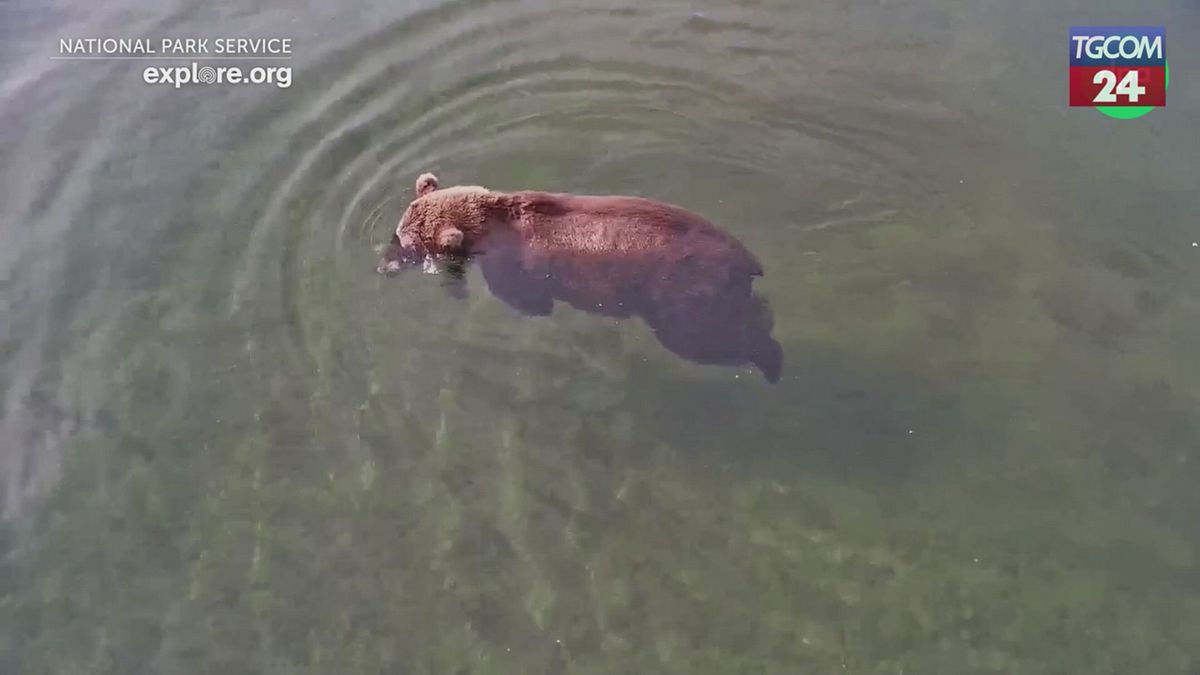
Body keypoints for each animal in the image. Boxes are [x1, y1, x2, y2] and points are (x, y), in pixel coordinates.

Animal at [378, 173, 783, 383]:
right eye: (397, 233)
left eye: (409, 243)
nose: (383, 266)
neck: (491, 223)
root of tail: (746, 259)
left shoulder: (514, 262)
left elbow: (526, 298)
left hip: (684, 293)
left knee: (711, 339)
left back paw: (770, 359)